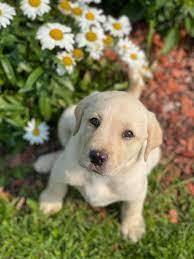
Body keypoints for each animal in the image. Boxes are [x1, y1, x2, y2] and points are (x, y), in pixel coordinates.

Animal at [34, 90, 162, 243]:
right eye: (94, 121)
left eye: (129, 134)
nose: (97, 157)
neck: (98, 177)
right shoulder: (61, 170)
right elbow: (56, 186)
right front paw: (50, 202)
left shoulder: (137, 191)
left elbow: (133, 208)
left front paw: (133, 226)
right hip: (66, 118)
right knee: (63, 148)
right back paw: (47, 161)